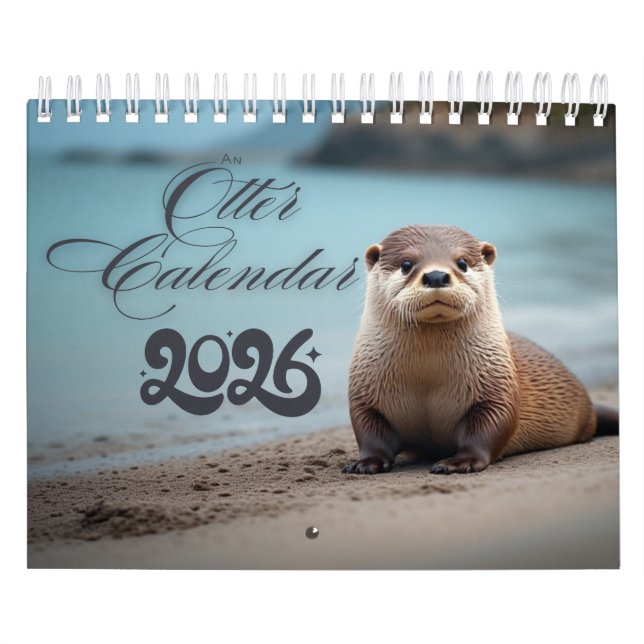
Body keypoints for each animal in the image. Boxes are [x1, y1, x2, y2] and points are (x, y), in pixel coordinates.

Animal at [343, 224, 617, 475]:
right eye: (406, 264)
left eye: (462, 262)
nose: (436, 276)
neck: (427, 377)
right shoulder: (365, 395)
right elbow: (370, 432)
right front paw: (366, 462)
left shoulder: (496, 389)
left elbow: (490, 427)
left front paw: (459, 462)